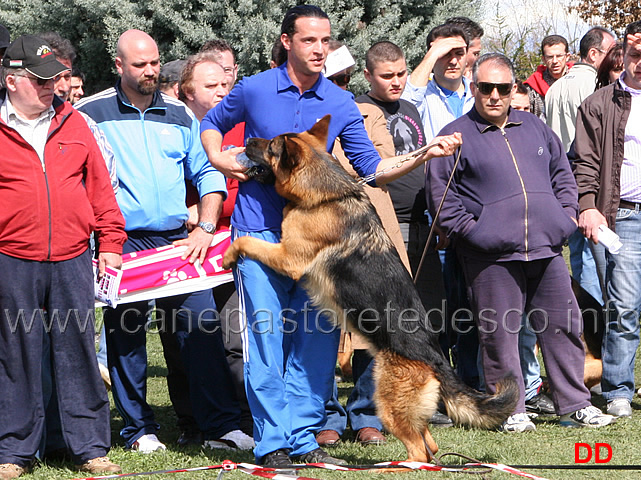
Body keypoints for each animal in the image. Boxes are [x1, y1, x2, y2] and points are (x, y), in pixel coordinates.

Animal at [222, 115, 516, 462]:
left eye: (270, 147)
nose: (247, 139)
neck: (327, 194)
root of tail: (436, 358)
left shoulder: (288, 257)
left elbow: (246, 241)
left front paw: (228, 255)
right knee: (430, 445)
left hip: (387, 403)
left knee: (420, 452)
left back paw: (396, 466)